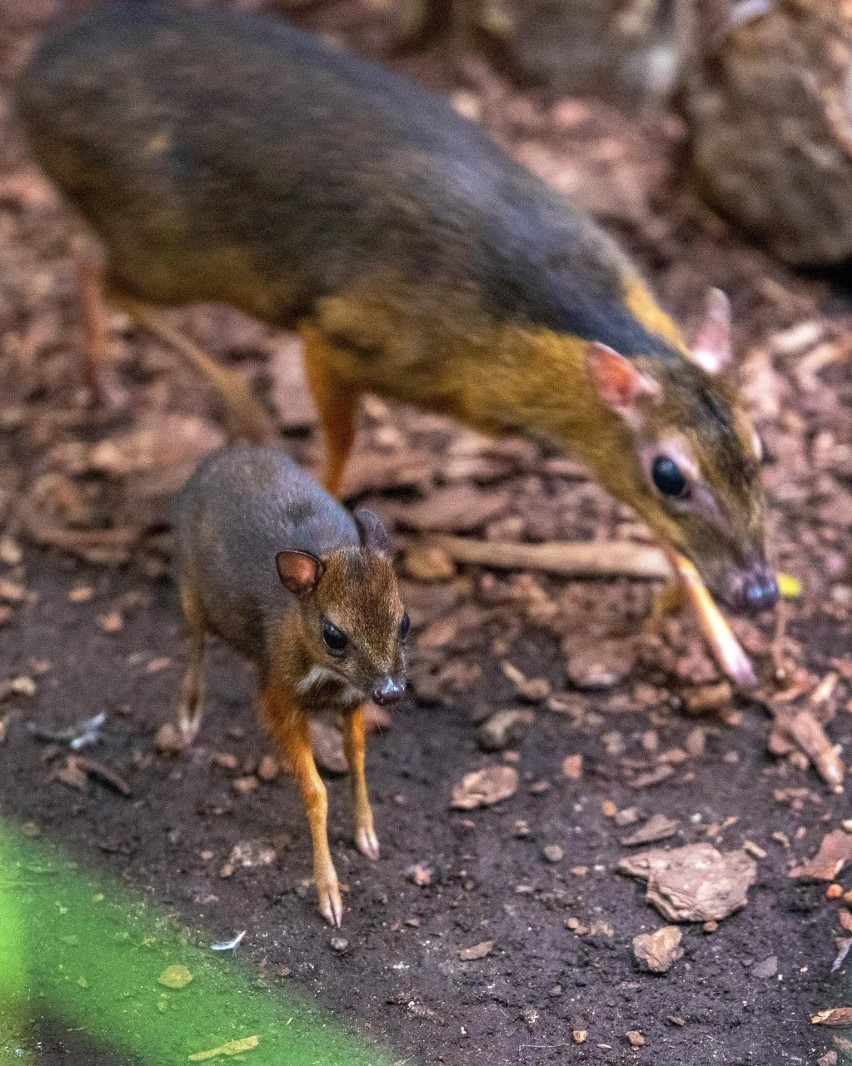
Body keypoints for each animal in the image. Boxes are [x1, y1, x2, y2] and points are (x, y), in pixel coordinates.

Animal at [174, 443, 407, 925]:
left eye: (406, 623)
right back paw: (187, 717)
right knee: (197, 642)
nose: (390, 692)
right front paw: (329, 894)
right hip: (190, 588)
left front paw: (367, 835)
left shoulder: (353, 700)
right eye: (334, 635)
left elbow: (357, 758)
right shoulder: (278, 701)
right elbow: (316, 792)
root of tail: (227, 452)